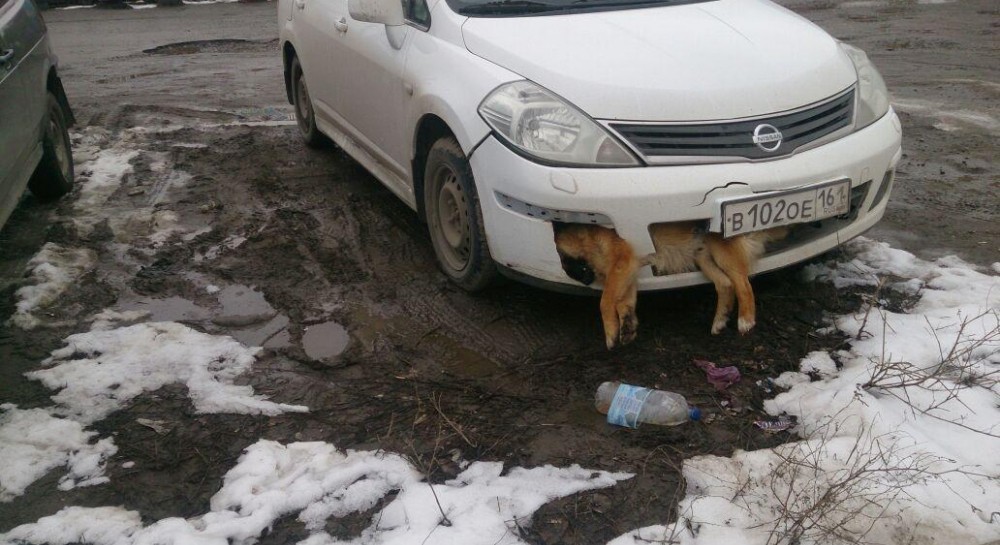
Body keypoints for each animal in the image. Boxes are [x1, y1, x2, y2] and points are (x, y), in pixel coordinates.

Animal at [644, 220, 784, 332]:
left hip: (719, 247)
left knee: (743, 285)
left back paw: (745, 321)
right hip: (701, 253)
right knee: (725, 283)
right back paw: (720, 320)